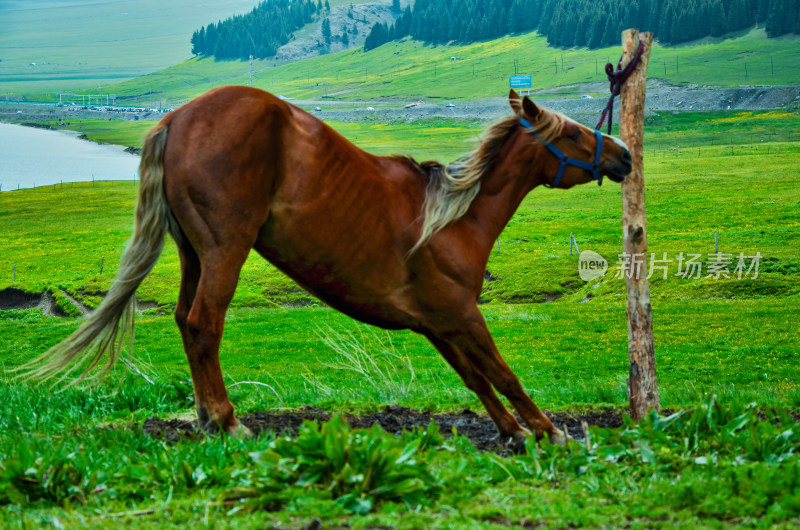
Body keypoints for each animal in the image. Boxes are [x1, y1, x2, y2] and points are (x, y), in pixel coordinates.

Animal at [28, 85, 632, 446]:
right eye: (573, 133)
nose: (624, 154)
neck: (452, 220)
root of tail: (175, 118)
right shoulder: (462, 315)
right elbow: (503, 373)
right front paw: (547, 431)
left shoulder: (439, 324)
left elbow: (476, 379)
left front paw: (511, 432)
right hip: (225, 248)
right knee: (203, 324)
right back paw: (226, 421)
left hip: (193, 252)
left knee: (183, 319)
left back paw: (204, 416)